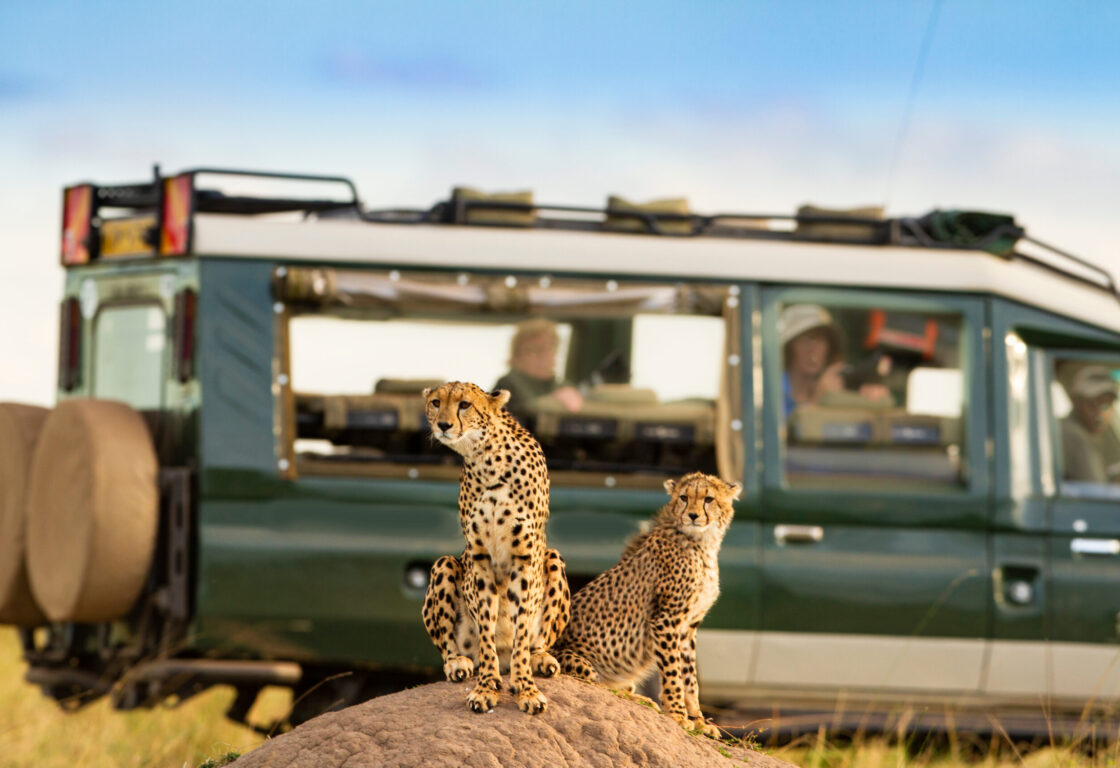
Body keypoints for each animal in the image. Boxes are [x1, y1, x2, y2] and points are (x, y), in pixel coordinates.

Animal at [420, 381, 571, 715]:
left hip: (552, 558)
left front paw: (526, 688)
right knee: (451, 645)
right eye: (436, 402)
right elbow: (487, 628)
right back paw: (458, 663)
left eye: (464, 404)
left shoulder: (524, 558)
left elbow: (521, 631)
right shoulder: (480, 559)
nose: (443, 425)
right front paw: (486, 687)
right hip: (445, 564)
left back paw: (540, 659)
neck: (487, 461)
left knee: (535, 641)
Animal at [553, 471, 741, 738]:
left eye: (708, 499)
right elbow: (673, 672)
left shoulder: (689, 627)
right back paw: (640, 699)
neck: (703, 543)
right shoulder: (666, 620)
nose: (693, 515)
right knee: (599, 686)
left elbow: (690, 678)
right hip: (578, 661)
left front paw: (699, 721)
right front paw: (678, 715)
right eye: (684, 497)